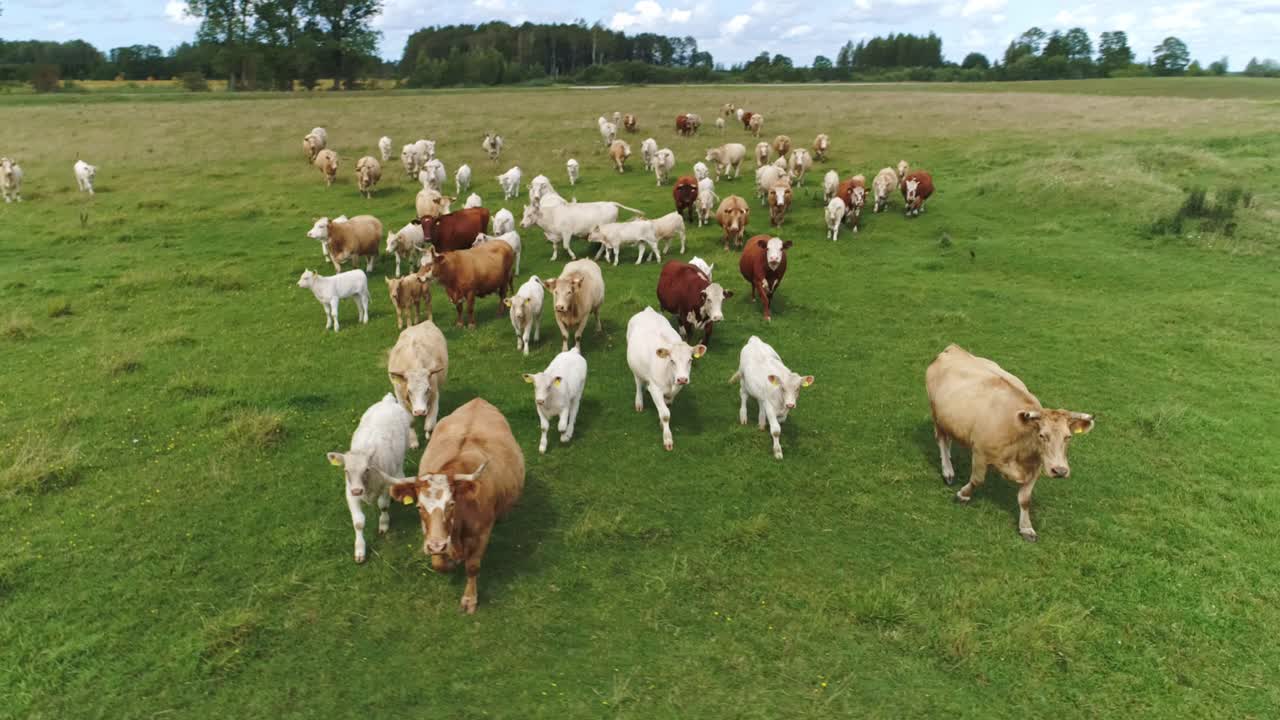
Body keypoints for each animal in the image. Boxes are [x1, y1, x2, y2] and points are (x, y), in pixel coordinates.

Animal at [383, 398, 525, 614]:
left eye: (451, 504)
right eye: (419, 507)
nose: (437, 545)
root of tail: (478, 400)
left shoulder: (482, 533)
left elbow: (472, 567)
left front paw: (470, 599)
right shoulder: (431, 535)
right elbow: (438, 563)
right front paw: (449, 560)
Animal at [625, 307, 706, 451]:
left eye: (690, 360)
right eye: (672, 360)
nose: (682, 379)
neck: (669, 377)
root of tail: (648, 310)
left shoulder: (676, 389)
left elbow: (667, 406)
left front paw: (662, 423)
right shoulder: (656, 389)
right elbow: (665, 414)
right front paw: (667, 439)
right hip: (635, 367)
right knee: (638, 382)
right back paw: (639, 401)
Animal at [926, 344, 1096, 542]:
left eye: (1068, 436)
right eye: (1042, 435)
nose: (1060, 471)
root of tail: (954, 348)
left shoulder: (1036, 466)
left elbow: (1025, 499)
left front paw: (1026, 528)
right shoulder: (980, 453)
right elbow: (977, 480)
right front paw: (963, 495)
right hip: (936, 414)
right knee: (942, 440)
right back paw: (948, 470)